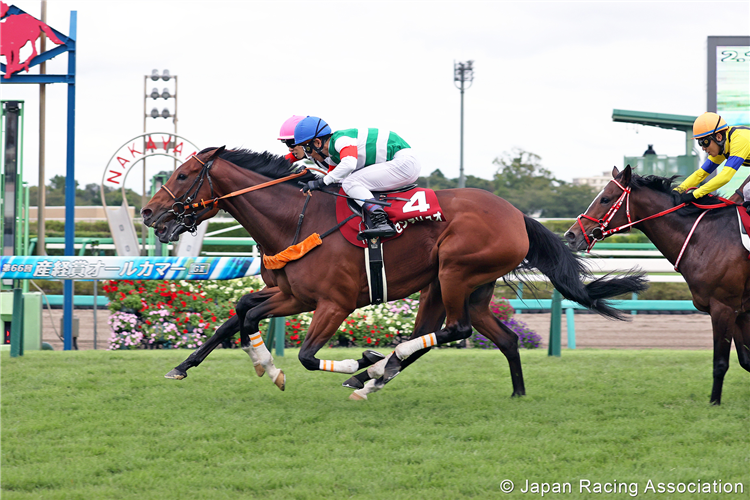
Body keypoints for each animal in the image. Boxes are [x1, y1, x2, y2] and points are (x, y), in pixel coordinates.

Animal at [144, 146, 648, 400]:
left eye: (185, 174)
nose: (149, 212)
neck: (296, 219)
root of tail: (516, 215)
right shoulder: (293, 296)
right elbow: (241, 311)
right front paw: (192, 366)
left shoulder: (333, 303)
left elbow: (305, 354)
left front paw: (355, 361)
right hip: (457, 287)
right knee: (495, 337)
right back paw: (513, 393)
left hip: (456, 272)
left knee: (454, 329)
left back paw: (372, 371)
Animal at [568, 166, 750, 404]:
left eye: (605, 199)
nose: (571, 235)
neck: (706, 237)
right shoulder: (739, 310)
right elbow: (746, 360)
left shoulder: (724, 307)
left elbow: (720, 363)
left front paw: (714, 403)